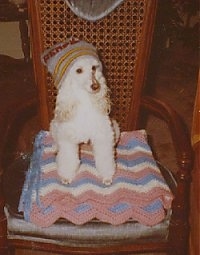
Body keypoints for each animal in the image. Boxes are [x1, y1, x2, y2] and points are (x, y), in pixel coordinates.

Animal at [42, 37, 119, 185]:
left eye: (94, 68)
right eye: (78, 70)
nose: (96, 86)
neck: (85, 102)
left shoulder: (103, 135)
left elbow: (105, 158)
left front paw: (107, 176)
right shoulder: (67, 139)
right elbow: (68, 159)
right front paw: (66, 176)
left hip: (116, 129)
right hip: (54, 126)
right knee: (56, 141)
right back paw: (55, 148)